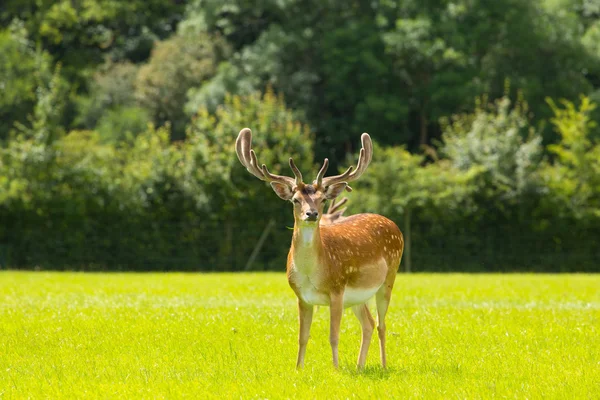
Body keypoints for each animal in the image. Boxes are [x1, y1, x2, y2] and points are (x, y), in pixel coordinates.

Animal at [234, 128, 404, 368]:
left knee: (381, 324)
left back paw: (383, 365)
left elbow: (333, 336)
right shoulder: (301, 296)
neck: (311, 273)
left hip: (389, 277)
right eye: (295, 199)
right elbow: (302, 337)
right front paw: (298, 369)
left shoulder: (337, 290)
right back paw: (360, 366)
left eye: (322, 199)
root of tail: (393, 224)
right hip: (358, 296)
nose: (312, 213)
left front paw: (336, 369)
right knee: (369, 323)